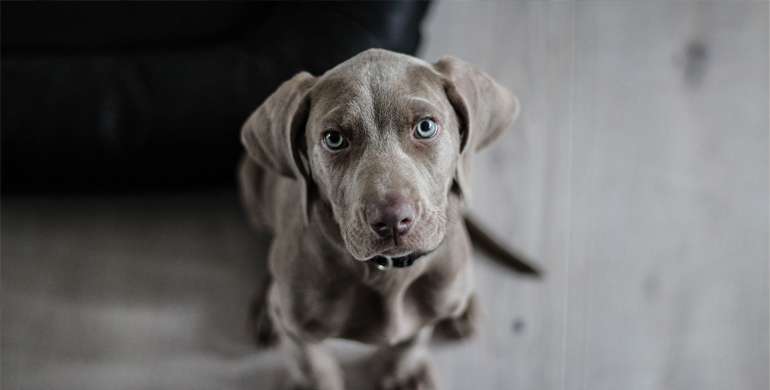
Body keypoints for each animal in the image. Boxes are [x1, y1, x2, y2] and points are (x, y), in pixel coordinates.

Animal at [238, 48, 536, 390]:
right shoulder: (296, 329)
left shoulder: (423, 311)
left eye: (425, 127)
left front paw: (402, 373)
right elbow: (310, 363)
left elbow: (412, 339)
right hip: (250, 183)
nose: (392, 220)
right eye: (334, 139)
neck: (388, 273)